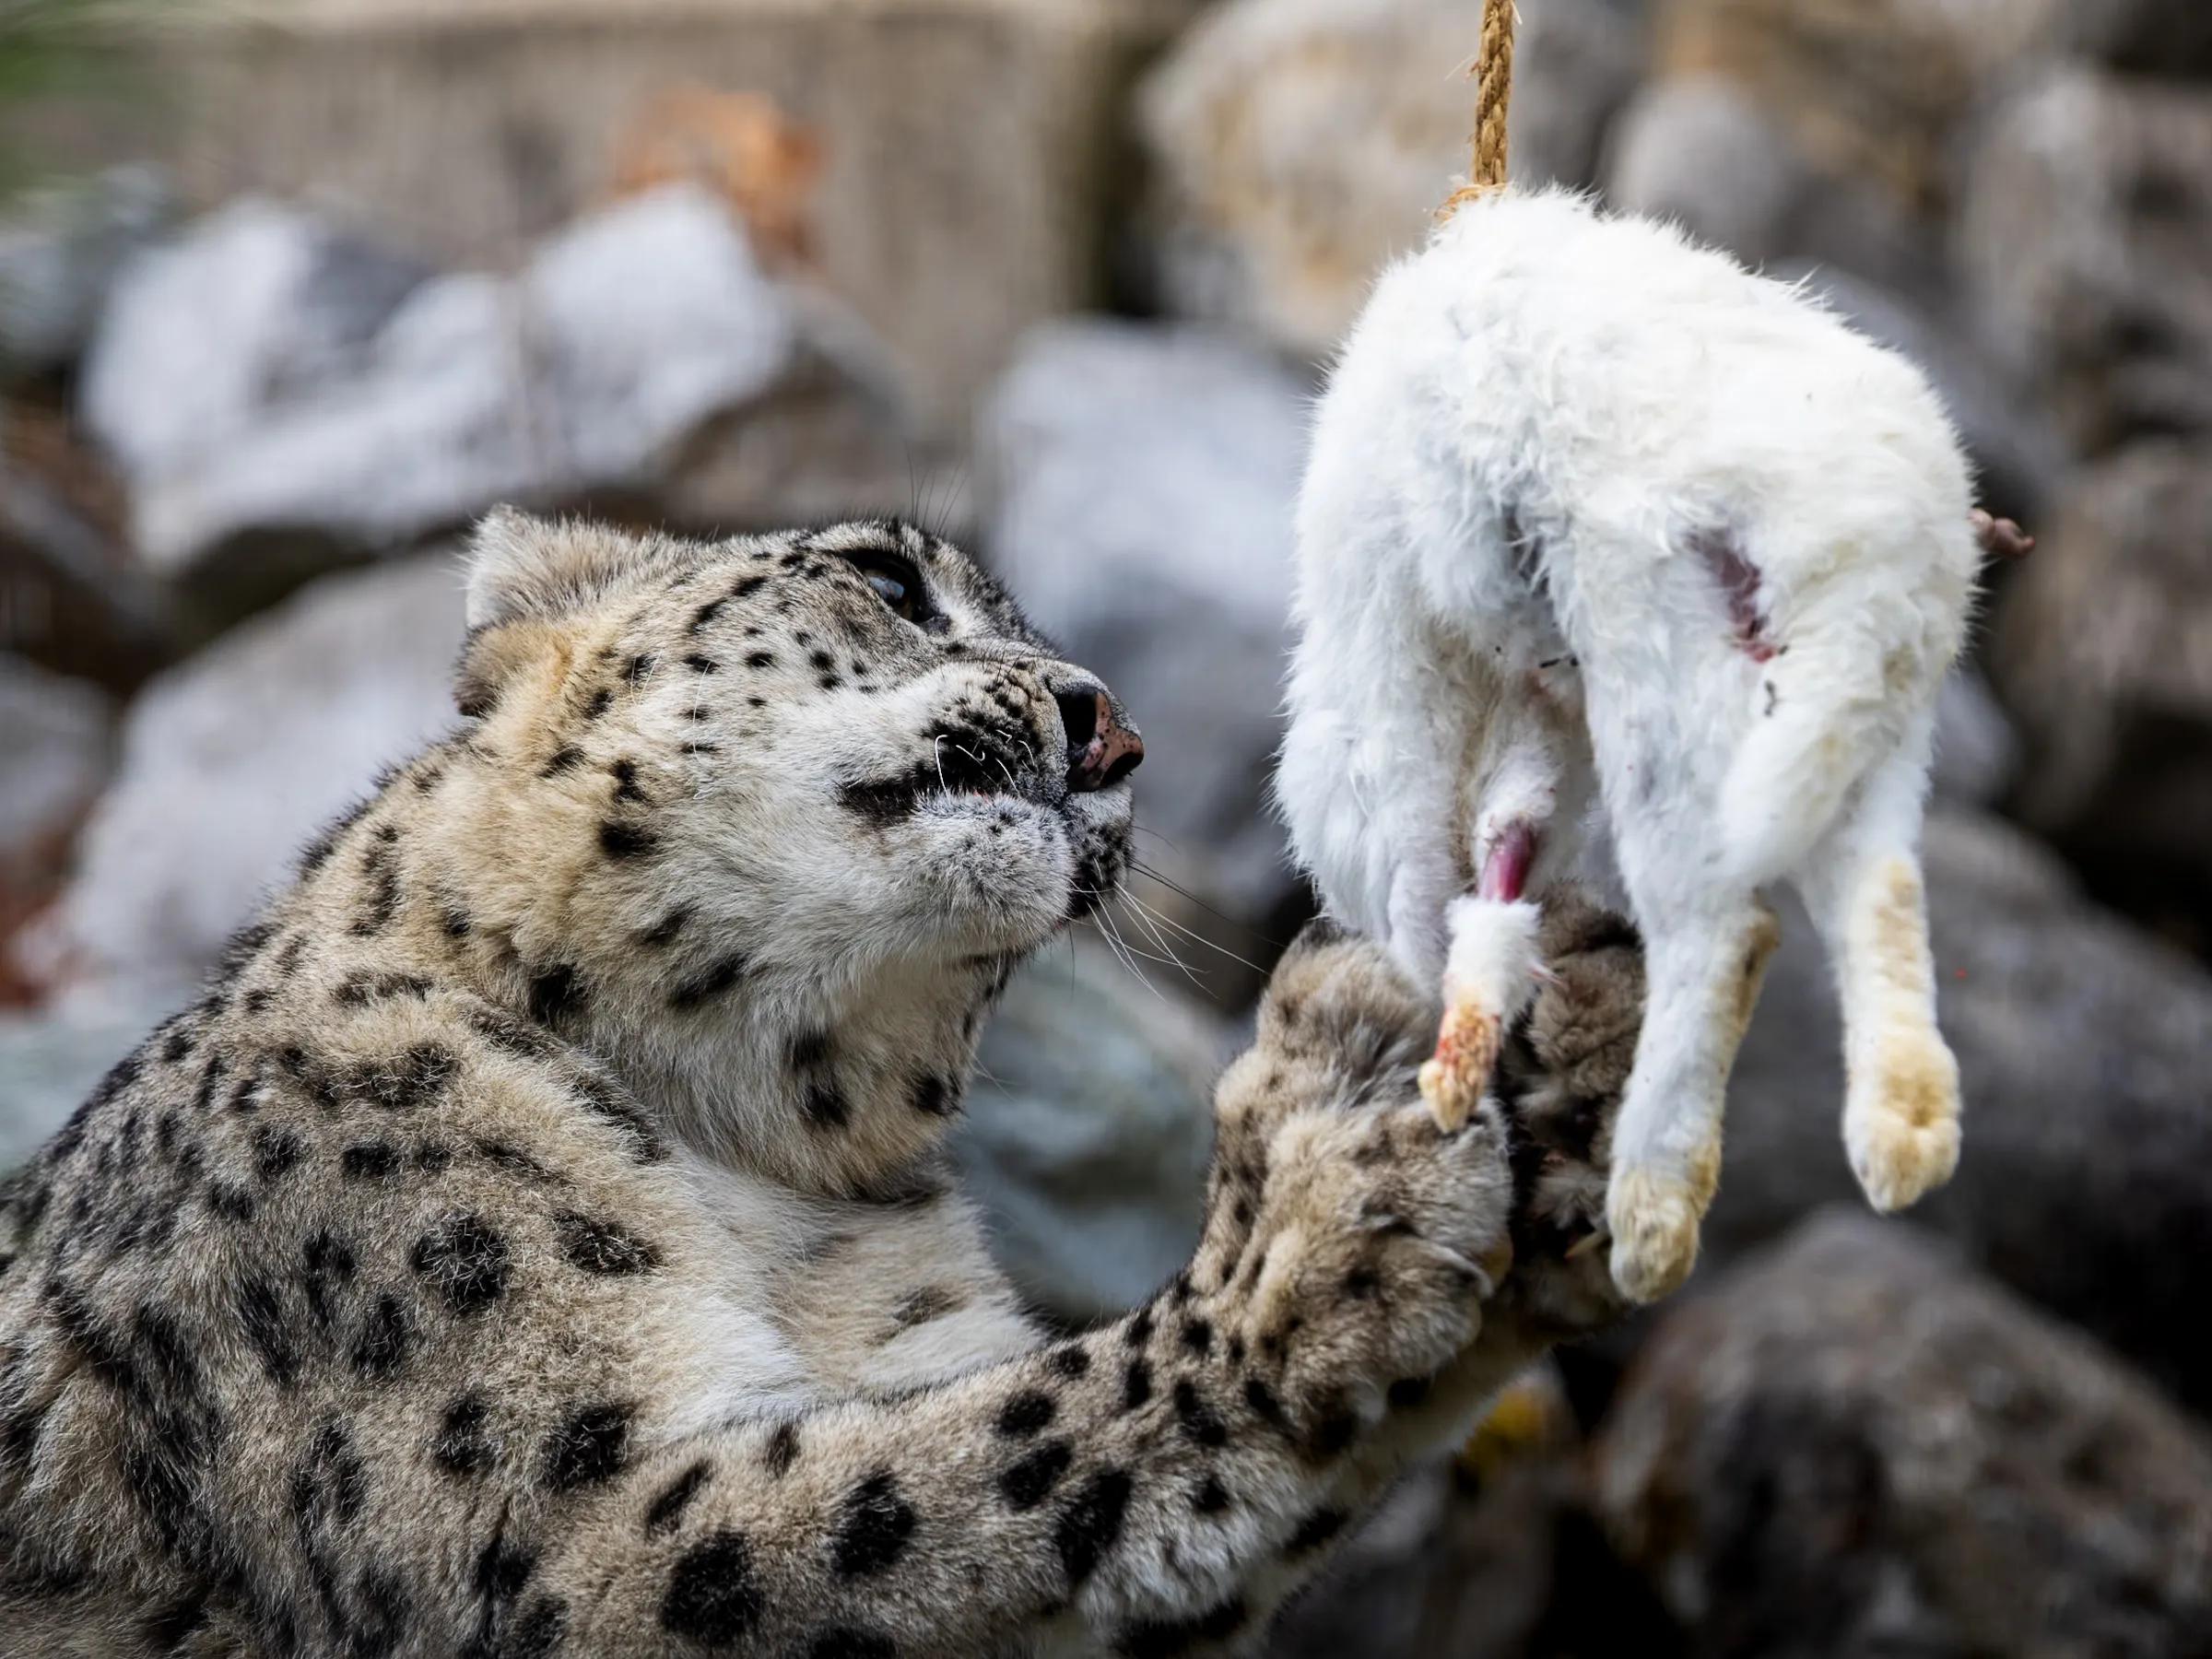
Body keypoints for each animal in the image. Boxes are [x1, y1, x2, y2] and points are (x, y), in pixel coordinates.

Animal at [0, 510, 1637, 1658]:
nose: (1114, 732)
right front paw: (1326, 1209)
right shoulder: (540, 1530)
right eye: (890, 582)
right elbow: (953, 1474)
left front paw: (1562, 1069)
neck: (749, 1169)